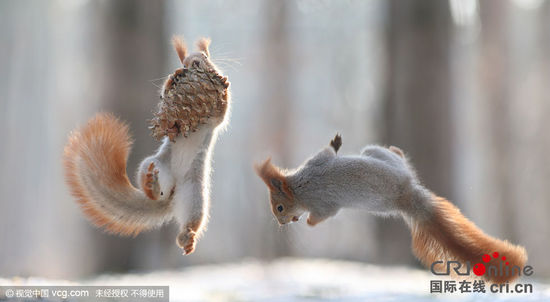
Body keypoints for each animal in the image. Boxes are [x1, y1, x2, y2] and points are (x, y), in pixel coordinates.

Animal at [63, 37, 230, 255]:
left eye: (204, 56)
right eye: (184, 61)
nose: (192, 64)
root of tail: (172, 193)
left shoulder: (217, 120)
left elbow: (222, 112)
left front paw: (224, 82)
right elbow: (165, 95)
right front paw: (172, 78)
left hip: (195, 194)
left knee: (191, 221)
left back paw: (187, 238)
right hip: (153, 164)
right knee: (153, 191)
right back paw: (152, 186)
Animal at [258, 134, 532, 284]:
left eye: (279, 208)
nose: (283, 223)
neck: (299, 188)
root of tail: (407, 192)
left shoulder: (319, 183)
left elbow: (325, 161)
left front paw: (307, 222)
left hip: (376, 155)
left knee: (391, 153)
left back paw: (395, 149)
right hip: (384, 166)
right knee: (396, 156)